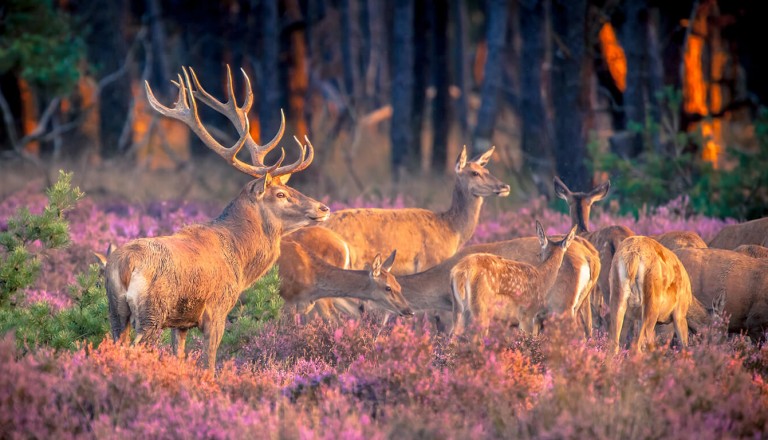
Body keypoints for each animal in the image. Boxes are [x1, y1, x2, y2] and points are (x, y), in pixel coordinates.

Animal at [103, 66, 328, 372]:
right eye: (280, 193)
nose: (323, 208)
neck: (241, 259)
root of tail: (125, 265)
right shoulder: (217, 309)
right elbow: (209, 363)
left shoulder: (181, 322)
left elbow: (179, 356)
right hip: (151, 312)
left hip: (115, 310)